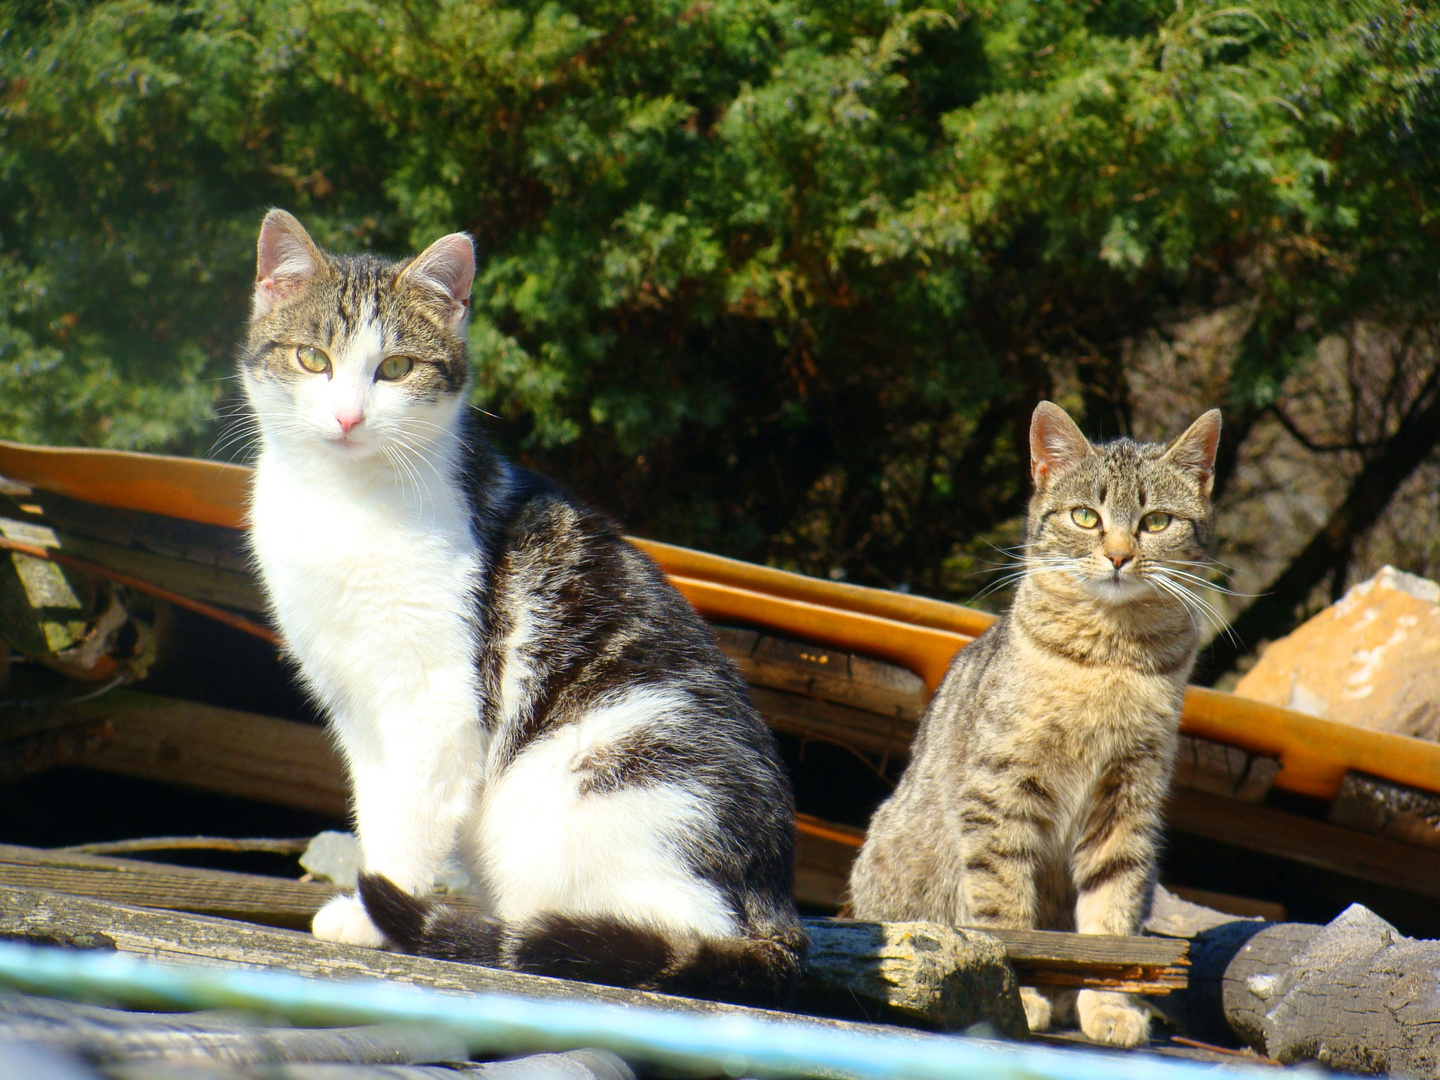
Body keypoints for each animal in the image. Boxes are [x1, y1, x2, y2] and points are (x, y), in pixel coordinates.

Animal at [234, 211, 800, 1008]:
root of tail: (775, 908)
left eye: (396, 369)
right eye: (313, 359)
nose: (347, 417)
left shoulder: (437, 697)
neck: (343, 500)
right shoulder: (355, 702)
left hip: (602, 779)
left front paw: (379, 914)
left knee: (671, 927)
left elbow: (409, 816)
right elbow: (378, 806)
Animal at [846, 400, 1221, 1048]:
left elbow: (1113, 911)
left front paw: (1109, 1004)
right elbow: (1005, 911)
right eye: (1085, 516)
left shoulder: (1129, 800)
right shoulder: (1000, 792)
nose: (1119, 555)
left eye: (1155, 521)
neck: (1110, 655)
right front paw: (1017, 995)